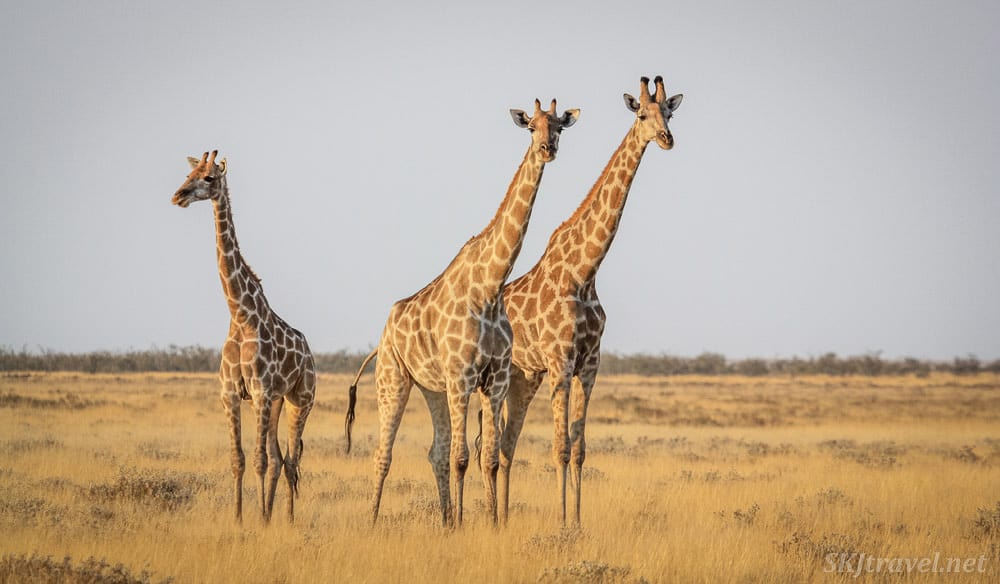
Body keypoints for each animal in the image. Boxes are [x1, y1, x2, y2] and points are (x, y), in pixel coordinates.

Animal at [170, 148, 314, 524]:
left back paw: (287, 520)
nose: (178, 196)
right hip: (276, 402)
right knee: (280, 459)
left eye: (209, 178)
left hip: (300, 399)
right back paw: (271, 514)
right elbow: (239, 460)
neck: (241, 316)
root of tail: (309, 353)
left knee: (291, 460)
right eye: (188, 174)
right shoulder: (232, 394)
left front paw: (260, 521)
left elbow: (259, 460)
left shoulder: (261, 391)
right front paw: (239, 519)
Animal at [346, 98, 584, 528]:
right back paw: (373, 521)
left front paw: (490, 523)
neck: (488, 286)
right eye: (531, 126)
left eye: (559, 125)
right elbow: (462, 459)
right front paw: (462, 524)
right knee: (383, 454)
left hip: (433, 388)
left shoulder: (495, 380)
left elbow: (488, 459)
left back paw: (442, 520)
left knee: (435, 452)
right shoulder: (462, 376)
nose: (547, 149)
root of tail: (383, 338)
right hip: (394, 378)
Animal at [498, 75, 684, 528]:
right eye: (641, 114)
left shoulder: (590, 364)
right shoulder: (560, 362)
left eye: (669, 114)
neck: (584, 273)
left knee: (504, 447)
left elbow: (580, 450)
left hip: (524, 378)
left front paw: (578, 523)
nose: (667, 139)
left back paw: (503, 519)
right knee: (487, 447)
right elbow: (560, 448)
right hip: (498, 378)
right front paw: (562, 524)